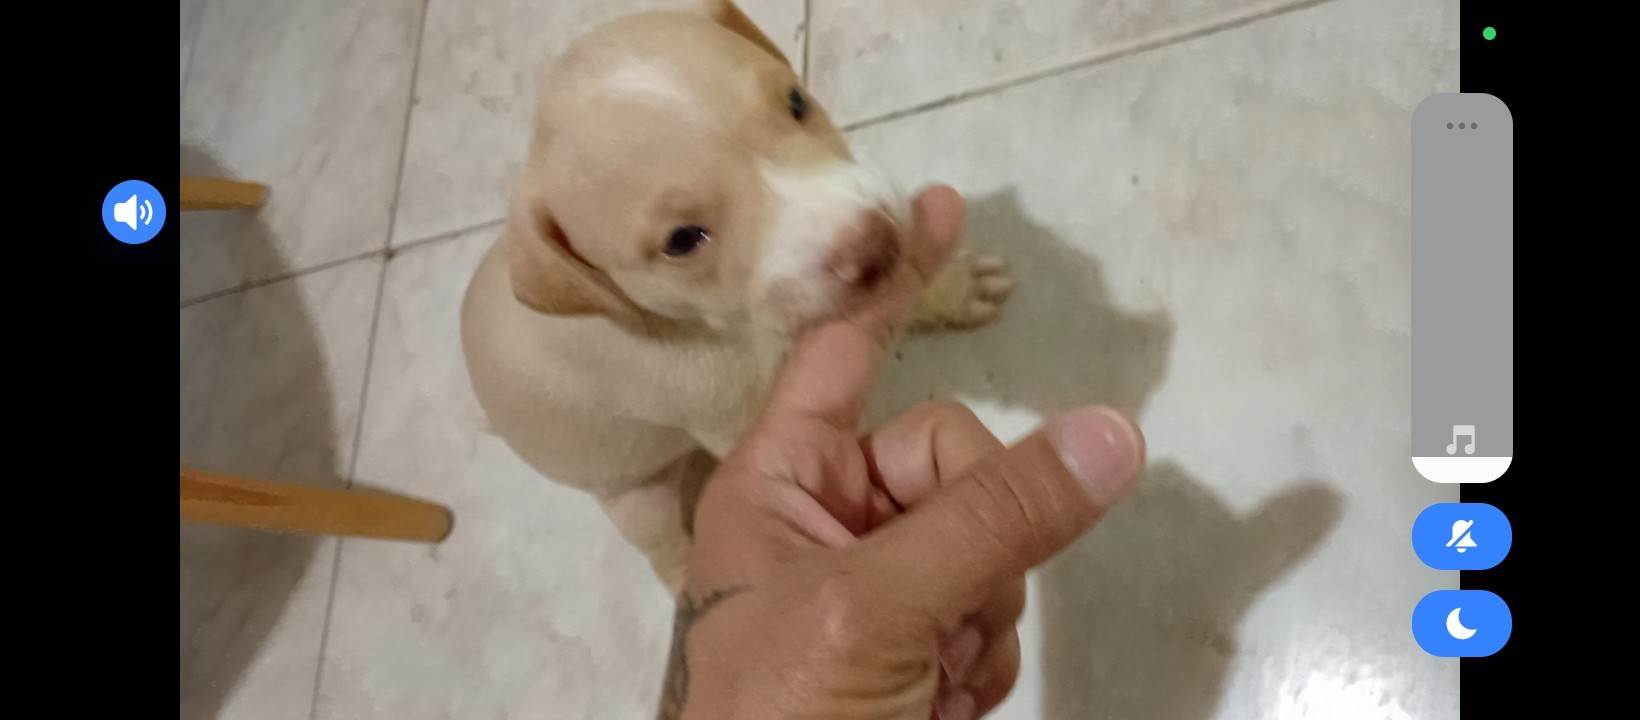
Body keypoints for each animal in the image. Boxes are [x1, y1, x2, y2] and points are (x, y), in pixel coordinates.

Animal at [461, 1, 1012, 592]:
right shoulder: (739, 421)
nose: (874, 244)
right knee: (663, 550)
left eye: (796, 102)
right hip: (635, 499)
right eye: (682, 240)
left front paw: (953, 288)